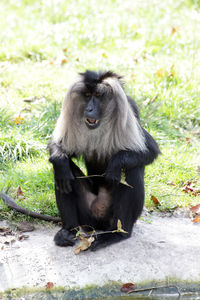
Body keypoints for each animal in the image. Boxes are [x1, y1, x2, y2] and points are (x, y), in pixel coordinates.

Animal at [48, 71, 159, 251]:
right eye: (87, 95)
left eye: (98, 96)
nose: (89, 109)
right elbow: (59, 151)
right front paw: (60, 161)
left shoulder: (130, 109)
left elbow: (150, 150)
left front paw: (115, 165)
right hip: (87, 216)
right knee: (62, 173)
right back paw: (69, 231)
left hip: (113, 215)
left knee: (132, 169)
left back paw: (118, 234)